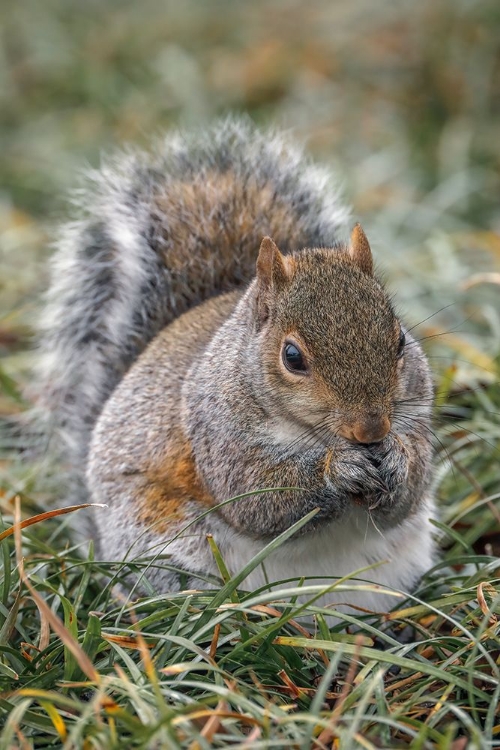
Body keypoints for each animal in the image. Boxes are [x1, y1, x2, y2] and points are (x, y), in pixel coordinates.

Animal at [39, 117, 436, 616]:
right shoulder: (216, 431)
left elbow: (409, 492)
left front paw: (398, 461)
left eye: (399, 339)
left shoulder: (417, 411)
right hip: (162, 549)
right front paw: (338, 470)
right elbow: (257, 498)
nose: (371, 430)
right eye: (292, 357)